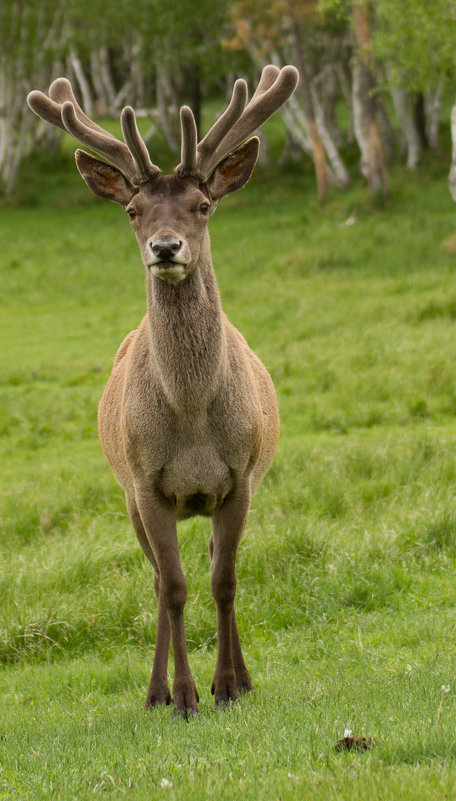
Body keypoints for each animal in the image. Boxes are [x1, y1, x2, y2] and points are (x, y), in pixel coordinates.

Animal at [28, 65, 300, 720]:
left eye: (203, 206)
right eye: (133, 210)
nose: (166, 247)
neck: (194, 420)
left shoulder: (241, 477)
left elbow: (223, 581)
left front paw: (229, 686)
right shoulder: (147, 484)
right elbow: (174, 588)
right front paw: (185, 697)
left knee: (213, 568)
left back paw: (238, 679)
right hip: (127, 494)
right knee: (156, 582)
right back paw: (156, 692)